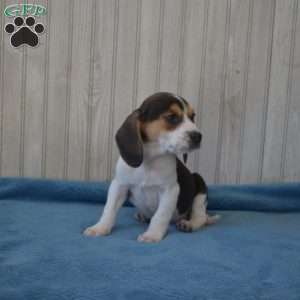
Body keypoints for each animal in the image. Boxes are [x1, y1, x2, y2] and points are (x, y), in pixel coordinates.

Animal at [84, 92, 218, 243]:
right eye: (172, 117)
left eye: (192, 116)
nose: (198, 136)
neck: (151, 160)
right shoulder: (119, 185)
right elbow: (109, 209)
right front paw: (100, 228)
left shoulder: (170, 190)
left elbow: (160, 216)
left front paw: (152, 235)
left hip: (199, 184)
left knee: (200, 215)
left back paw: (189, 224)